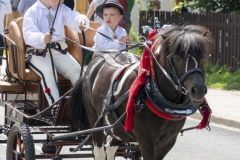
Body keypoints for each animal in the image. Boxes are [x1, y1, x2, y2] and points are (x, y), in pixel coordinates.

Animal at [69, 24, 212, 159]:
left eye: (202, 58)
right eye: (177, 58)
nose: (199, 89)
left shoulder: (168, 142)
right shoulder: (146, 141)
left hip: (118, 129)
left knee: (110, 148)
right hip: (95, 121)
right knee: (99, 152)